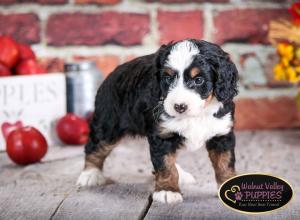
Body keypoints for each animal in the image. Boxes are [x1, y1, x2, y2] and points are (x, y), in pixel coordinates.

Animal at [77, 38, 239, 204]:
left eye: (198, 80)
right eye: (167, 78)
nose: (179, 107)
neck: (197, 115)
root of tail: (112, 74)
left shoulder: (222, 134)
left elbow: (225, 163)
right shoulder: (162, 135)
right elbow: (165, 165)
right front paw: (168, 190)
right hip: (108, 124)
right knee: (95, 147)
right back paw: (90, 174)